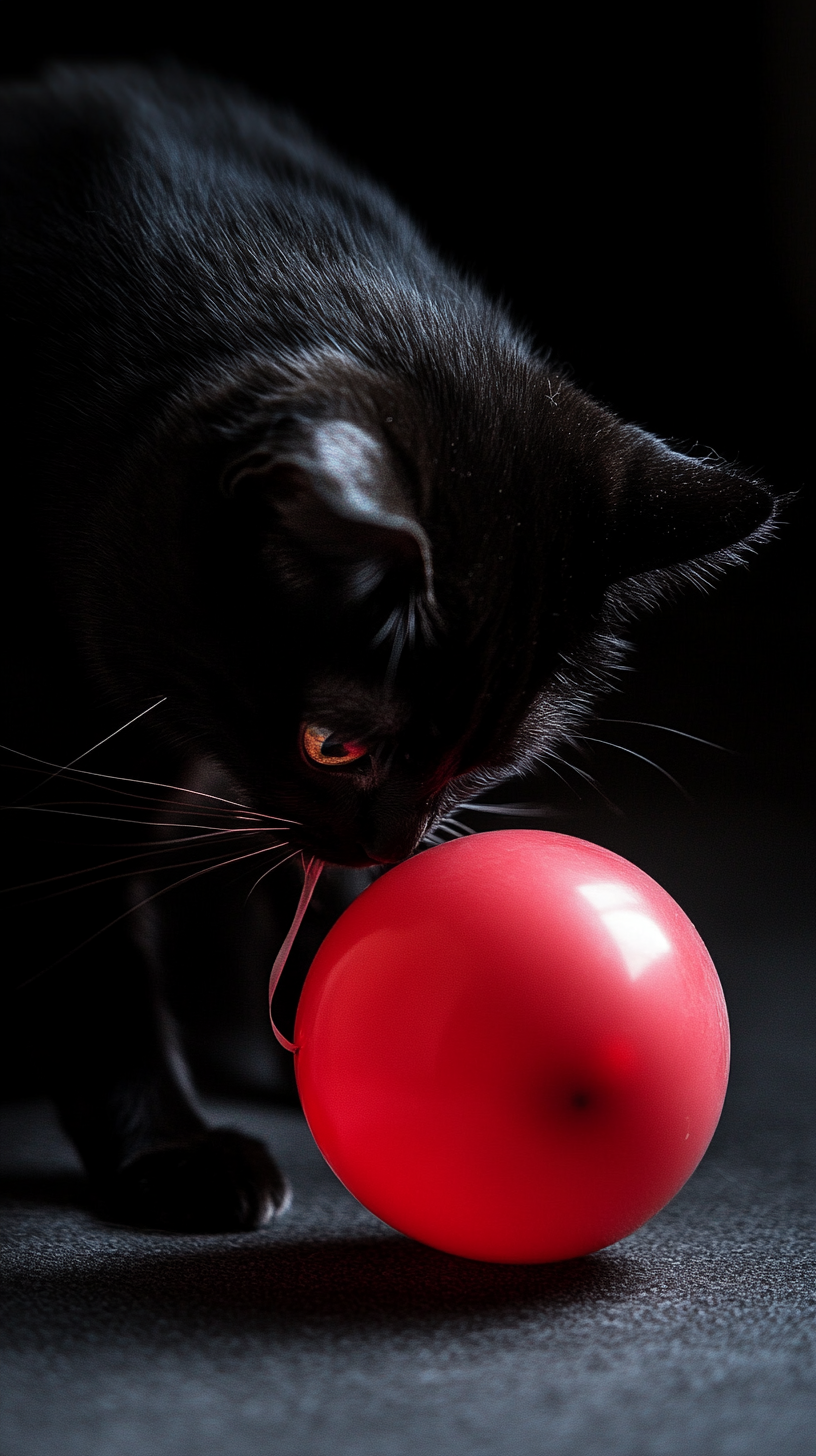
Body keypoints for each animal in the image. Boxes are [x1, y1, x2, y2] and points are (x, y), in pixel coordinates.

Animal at [0, 65, 769, 1228]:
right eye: (335, 744)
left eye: (489, 761)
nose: (395, 849)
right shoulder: (49, 763)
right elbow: (101, 968)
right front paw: (172, 1152)